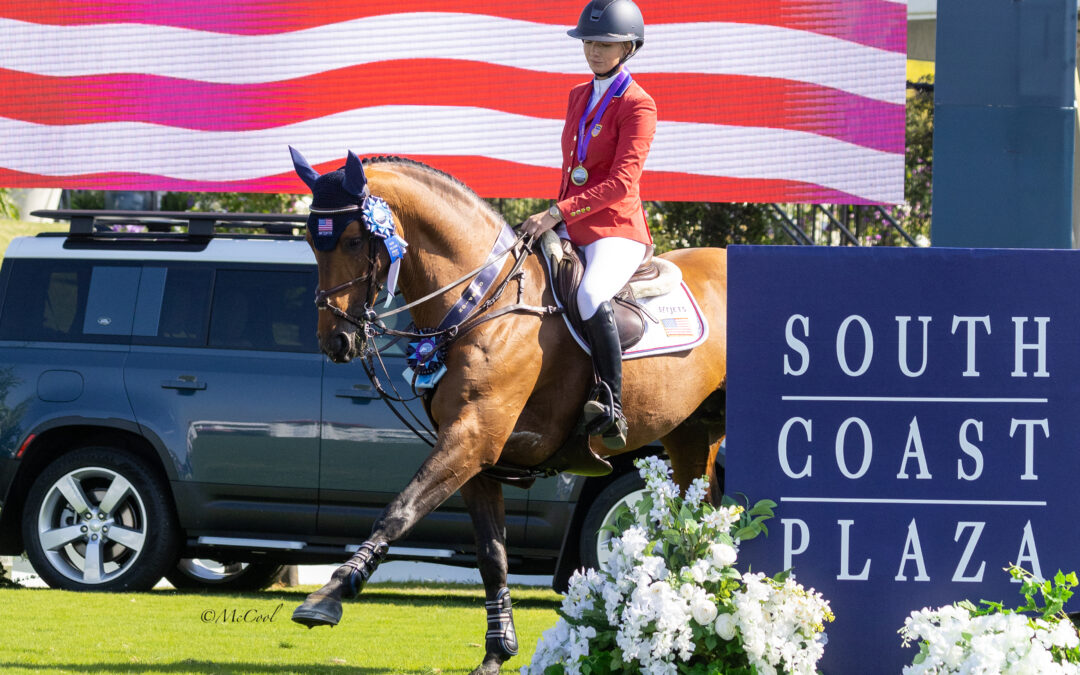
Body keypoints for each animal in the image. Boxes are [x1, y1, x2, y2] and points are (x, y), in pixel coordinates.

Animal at [289, 150, 725, 669]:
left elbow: (398, 512)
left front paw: (328, 595)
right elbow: (491, 555)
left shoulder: (472, 438)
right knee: (698, 517)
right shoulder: (476, 457)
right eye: (313, 241)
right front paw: (497, 651)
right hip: (691, 432)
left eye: (355, 240)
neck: (481, 298)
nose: (336, 341)